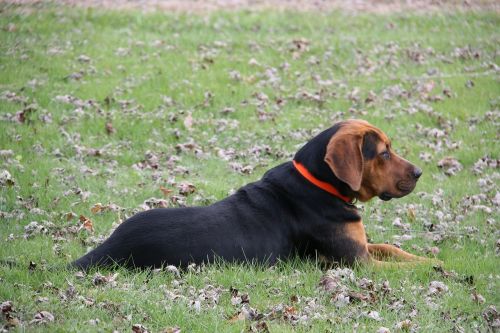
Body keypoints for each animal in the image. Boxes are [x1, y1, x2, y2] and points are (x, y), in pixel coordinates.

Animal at [72, 119, 436, 270]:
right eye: (384, 153)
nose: (420, 173)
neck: (318, 184)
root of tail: (106, 249)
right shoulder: (358, 263)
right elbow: (405, 272)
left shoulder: (362, 248)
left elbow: (394, 249)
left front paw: (432, 259)